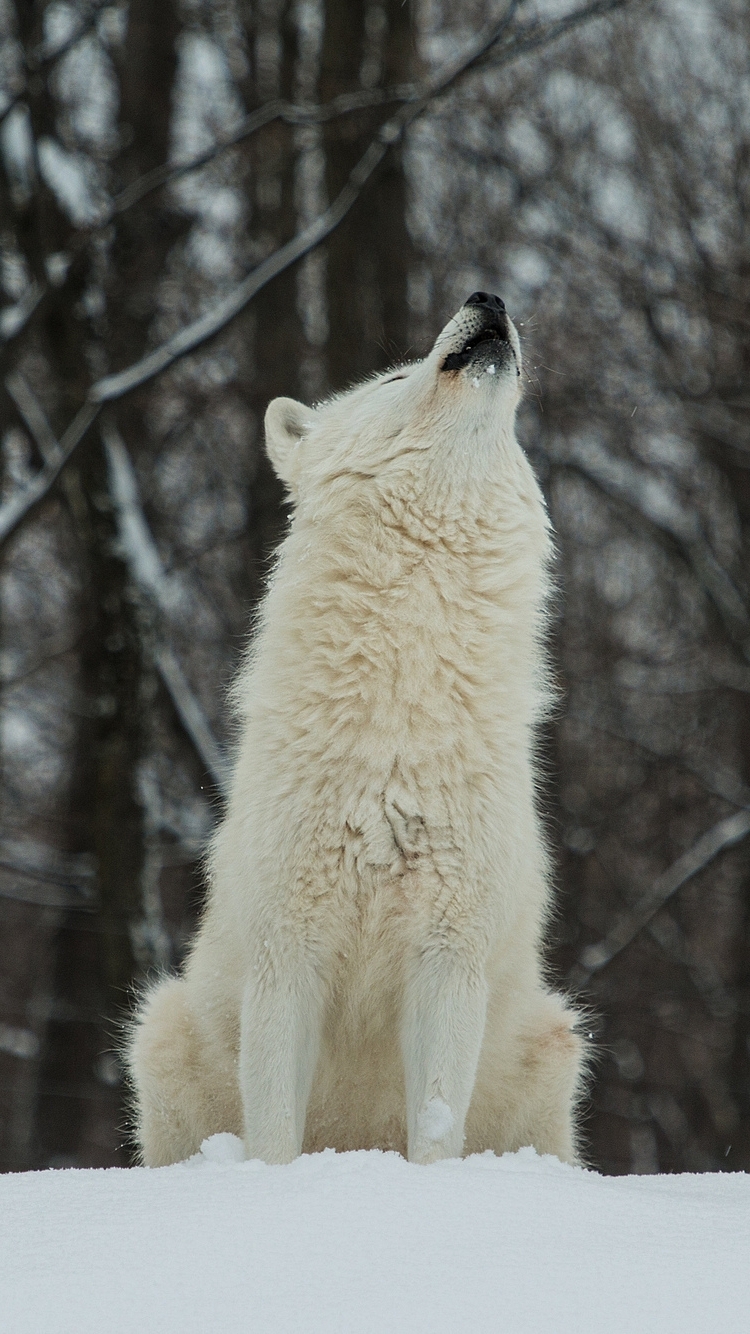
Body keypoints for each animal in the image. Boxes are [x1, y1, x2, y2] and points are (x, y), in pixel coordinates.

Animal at [126, 294, 584, 1168]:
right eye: (395, 378)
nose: (490, 299)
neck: (399, 721)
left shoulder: (450, 962)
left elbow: (435, 1128)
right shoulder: (285, 960)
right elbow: (274, 1137)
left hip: (554, 1039)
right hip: (160, 1028)